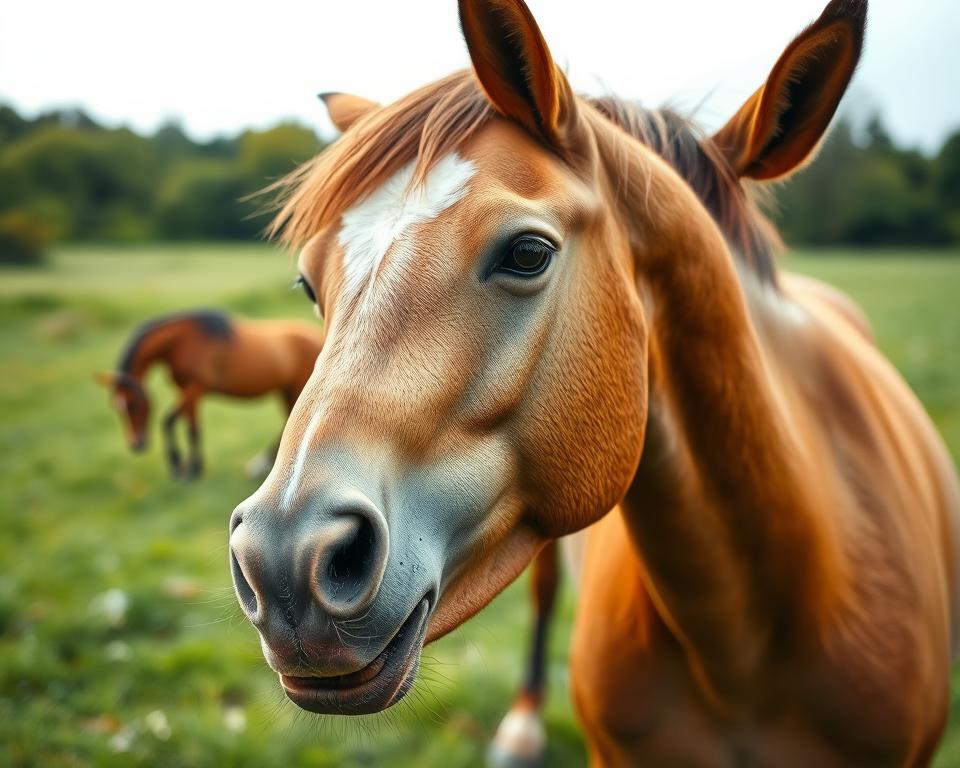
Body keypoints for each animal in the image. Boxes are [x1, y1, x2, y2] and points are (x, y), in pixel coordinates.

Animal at [97, 309, 324, 479]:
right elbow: (193, 428)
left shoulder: (195, 388)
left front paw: (178, 465)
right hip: (287, 392)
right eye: (116, 407)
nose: (137, 444)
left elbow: (168, 421)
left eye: (133, 404)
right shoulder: (188, 392)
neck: (182, 341)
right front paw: (195, 468)